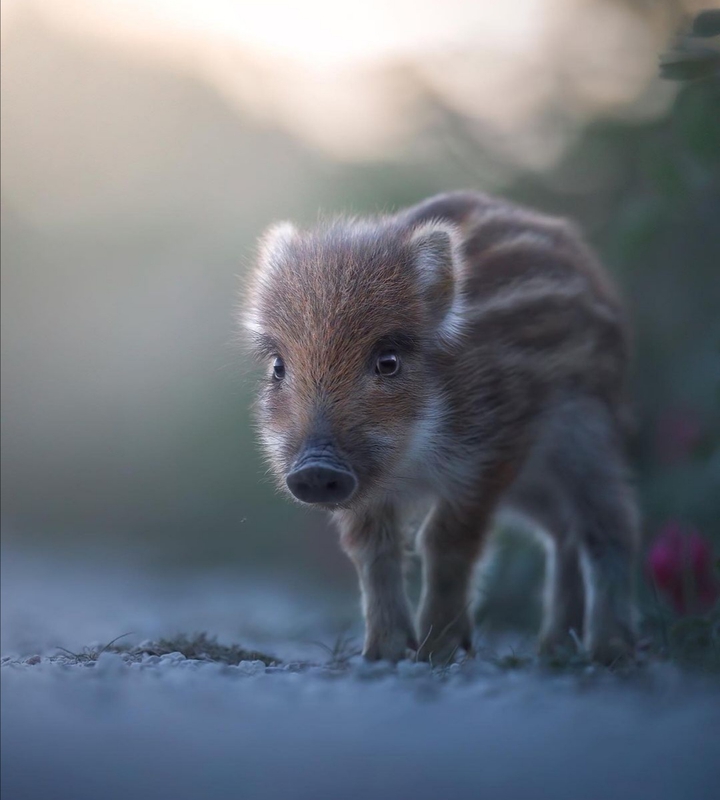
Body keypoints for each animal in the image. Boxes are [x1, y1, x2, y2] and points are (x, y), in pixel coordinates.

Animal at [244, 191, 639, 665]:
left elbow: (444, 540)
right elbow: (373, 548)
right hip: (533, 485)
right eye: (278, 367)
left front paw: (437, 651)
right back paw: (554, 648)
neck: (413, 455)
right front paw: (383, 653)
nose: (316, 468)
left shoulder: (487, 456)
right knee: (562, 532)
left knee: (609, 525)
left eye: (388, 361)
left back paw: (607, 650)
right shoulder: (367, 488)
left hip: (585, 440)